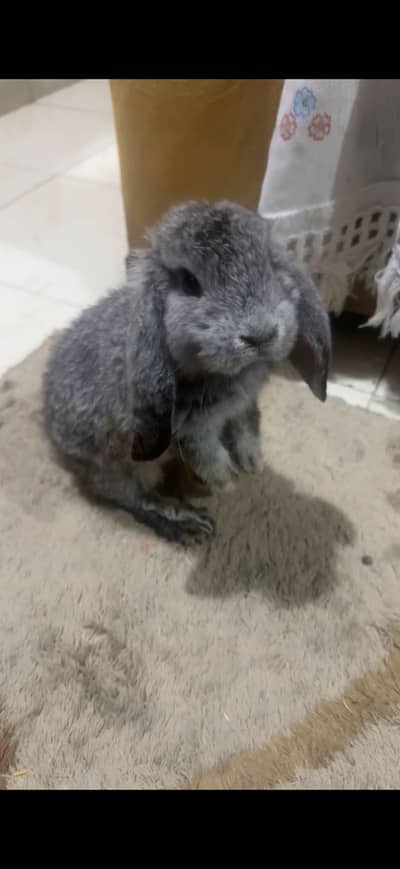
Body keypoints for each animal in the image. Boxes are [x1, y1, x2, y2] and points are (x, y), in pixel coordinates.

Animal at [43, 200, 331, 545]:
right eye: (190, 283)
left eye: (272, 267)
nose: (260, 335)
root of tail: (52, 431)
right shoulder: (193, 428)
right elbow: (206, 453)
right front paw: (226, 482)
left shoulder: (243, 406)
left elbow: (246, 426)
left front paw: (253, 463)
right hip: (122, 465)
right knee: (132, 499)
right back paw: (187, 523)